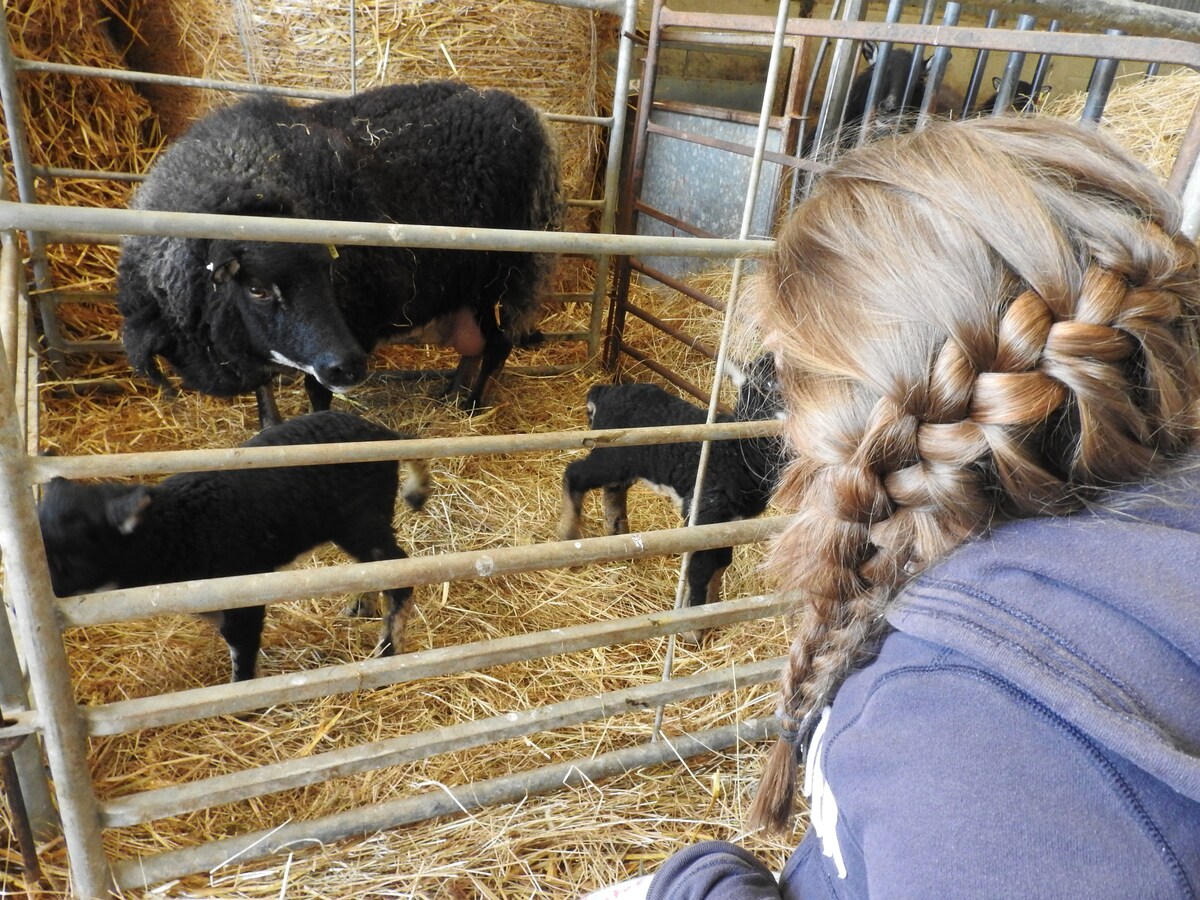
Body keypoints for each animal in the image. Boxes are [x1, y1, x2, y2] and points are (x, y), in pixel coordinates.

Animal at [37, 410, 432, 681]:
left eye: (69, 557)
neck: (176, 528)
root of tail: (383, 434)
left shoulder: (241, 591)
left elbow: (240, 645)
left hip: (362, 519)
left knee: (398, 574)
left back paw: (387, 649)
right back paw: (361, 608)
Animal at [120, 80, 561, 427]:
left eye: (327, 271)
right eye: (257, 289)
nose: (351, 367)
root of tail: (523, 111)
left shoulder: (348, 327)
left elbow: (317, 390)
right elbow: (265, 386)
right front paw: (269, 427)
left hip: (506, 274)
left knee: (497, 344)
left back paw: (470, 403)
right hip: (466, 283)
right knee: (476, 345)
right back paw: (452, 392)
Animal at [559, 352, 787, 643]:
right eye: (765, 386)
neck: (740, 450)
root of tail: (606, 391)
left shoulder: (729, 523)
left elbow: (720, 563)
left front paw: (714, 610)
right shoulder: (705, 511)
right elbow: (701, 568)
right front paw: (694, 628)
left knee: (613, 491)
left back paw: (618, 536)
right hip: (612, 456)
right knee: (575, 474)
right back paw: (569, 535)